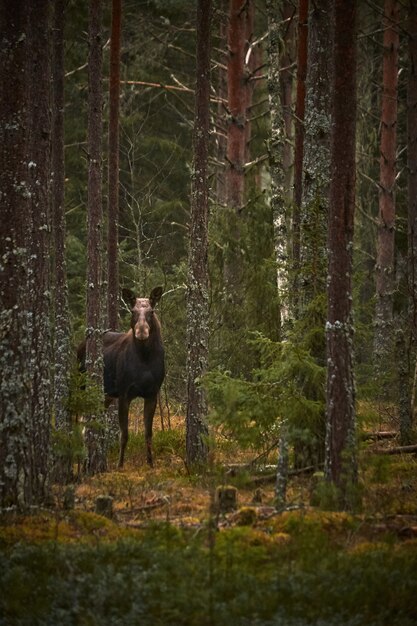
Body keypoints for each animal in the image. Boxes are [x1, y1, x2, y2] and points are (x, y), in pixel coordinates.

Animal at [77, 286, 164, 466]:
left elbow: (148, 434)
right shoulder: (124, 393)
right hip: (81, 386)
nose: (141, 331)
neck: (145, 359)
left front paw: (151, 463)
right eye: (133, 311)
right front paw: (120, 464)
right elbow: (124, 435)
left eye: (151, 311)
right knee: (81, 423)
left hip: (105, 395)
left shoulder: (152, 394)